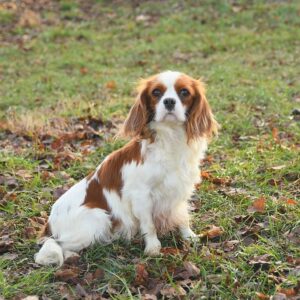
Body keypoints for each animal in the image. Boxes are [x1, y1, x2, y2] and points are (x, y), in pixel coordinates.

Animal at [34, 70, 218, 264]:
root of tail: (49, 224)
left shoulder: (180, 189)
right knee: (56, 244)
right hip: (98, 217)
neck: (170, 137)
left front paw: (190, 237)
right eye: (156, 93)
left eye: (184, 92)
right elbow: (149, 225)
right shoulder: (141, 195)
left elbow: (183, 217)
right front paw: (153, 248)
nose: (169, 101)